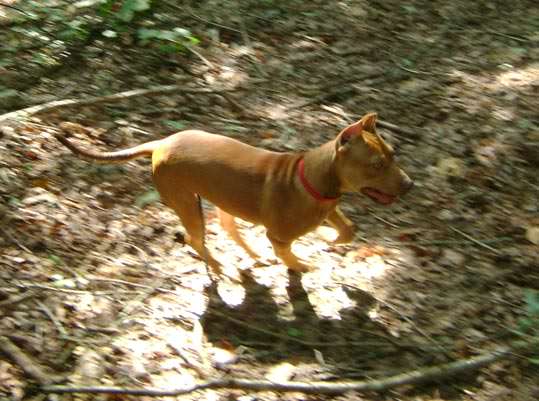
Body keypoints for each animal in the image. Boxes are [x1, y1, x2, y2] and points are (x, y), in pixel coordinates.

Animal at [57, 112, 414, 276]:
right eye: (377, 164)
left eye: (394, 154)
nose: (410, 185)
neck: (314, 181)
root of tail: (160, 144)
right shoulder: (279, 236)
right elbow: (291, 258)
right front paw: (303, 266)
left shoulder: (330, 208)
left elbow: (348, 229)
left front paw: (332, 241)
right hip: (188, 203)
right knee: (195, 239)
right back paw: (217, 267)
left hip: (221, 199)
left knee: (227, 228)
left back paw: (251, 257)